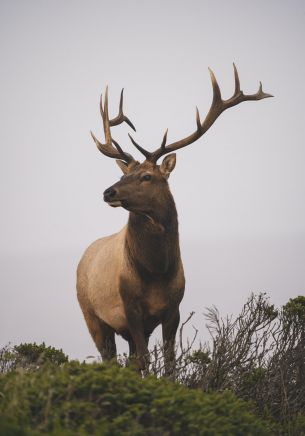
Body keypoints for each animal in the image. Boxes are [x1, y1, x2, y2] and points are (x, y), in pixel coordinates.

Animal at [76, 63, 270, 372]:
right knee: (110, 358)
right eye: (123, 175)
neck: (156, 271)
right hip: (91, 315)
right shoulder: (130, 307)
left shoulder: (173, 309)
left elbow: (169, 363)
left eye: (146, 176)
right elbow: (145, 361)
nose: (108, 192)